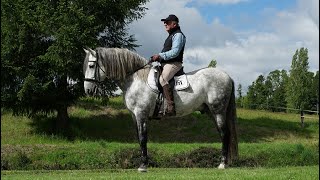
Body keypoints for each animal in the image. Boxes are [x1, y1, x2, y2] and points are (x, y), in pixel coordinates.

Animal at [82, 47, 238, 172]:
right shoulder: (134, 116)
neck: (135, 79)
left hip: (218, 111)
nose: (88, 90)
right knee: (223, 133)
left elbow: (143, 138)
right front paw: (143, 163)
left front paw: (143, 166)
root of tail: (227, 76)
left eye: (91, 65)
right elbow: (139, 138)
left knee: (224, 133)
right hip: (211, 112)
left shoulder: (141, 114)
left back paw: (222, 164)